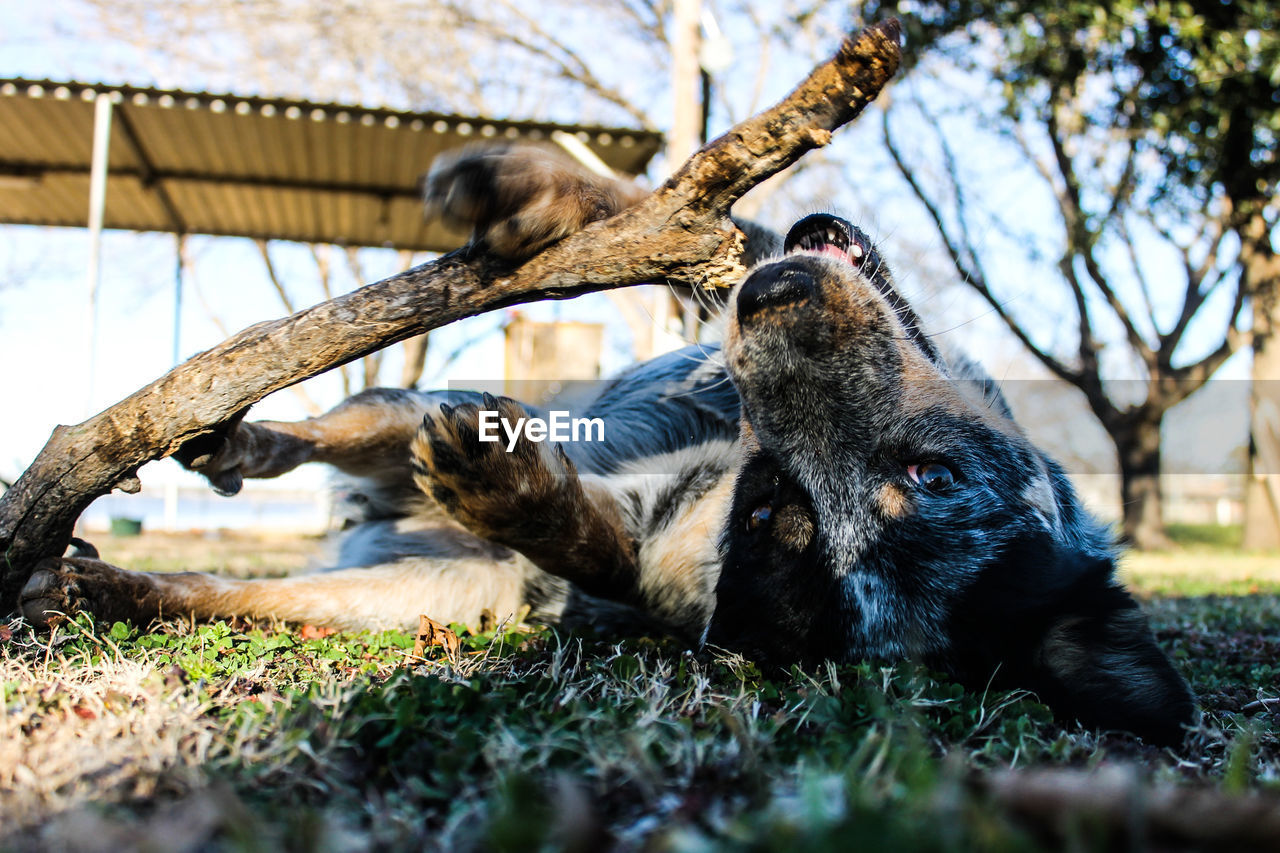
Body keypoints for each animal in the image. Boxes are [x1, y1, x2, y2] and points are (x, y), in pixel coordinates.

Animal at [20, 142, 1192, 742]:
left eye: (779, 521)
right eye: (930, 466)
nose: (771, 311)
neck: (727, 447)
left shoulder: (628, 538)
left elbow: (594, 539)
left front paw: (513, 491)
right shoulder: (712, 277)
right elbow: (669, 213)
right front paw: (527, 186)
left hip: (400, 595)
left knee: (223, 589)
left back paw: (100, 583)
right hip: (416, 414)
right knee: (338, 425)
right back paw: (237, 441)